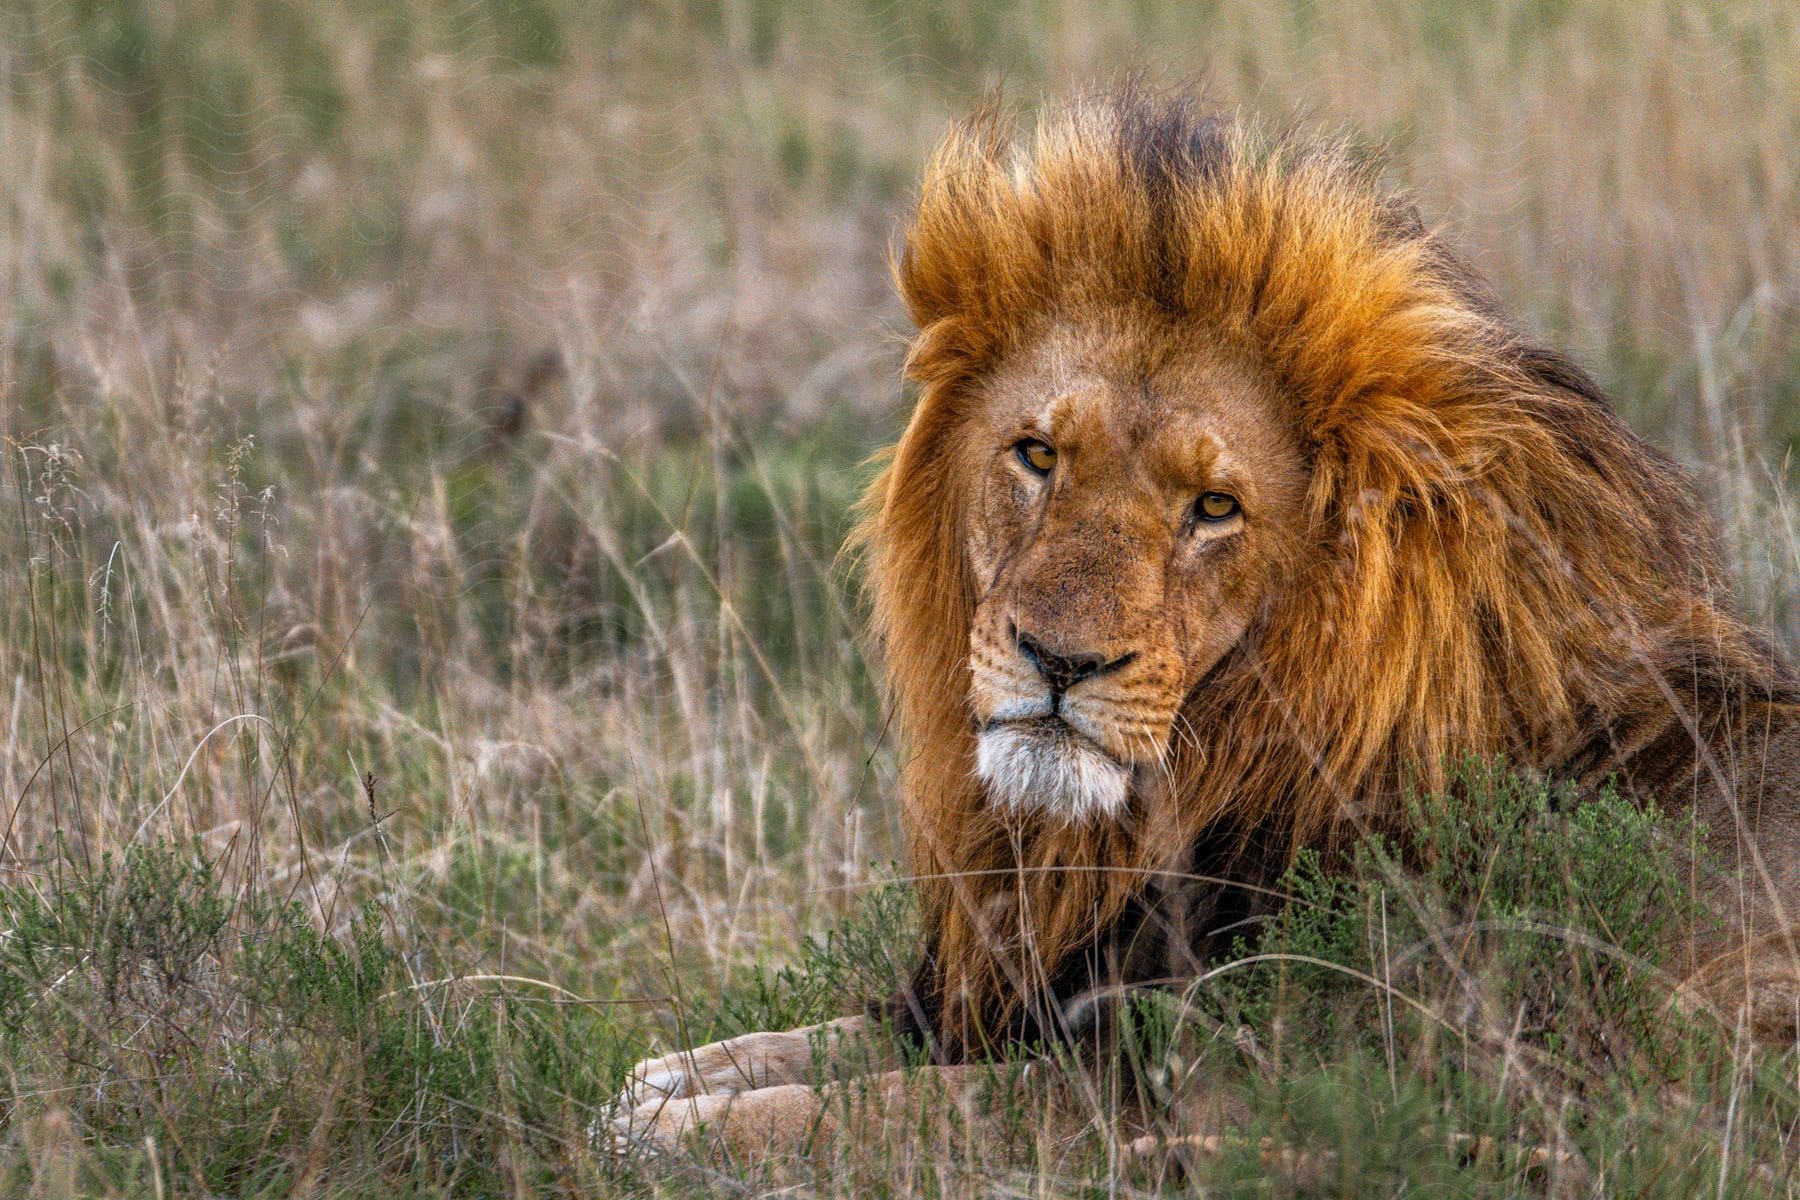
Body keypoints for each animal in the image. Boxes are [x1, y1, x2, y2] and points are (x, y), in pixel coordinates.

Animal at [608, 89, 1800, 1158]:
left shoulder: (1215, 1070)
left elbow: (889, 1112)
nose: (1059, 661)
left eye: (1214, 508)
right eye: (1037, 454)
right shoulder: (1014, 992)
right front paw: (664, 1080)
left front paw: (680, 1131)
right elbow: (829, 1040)